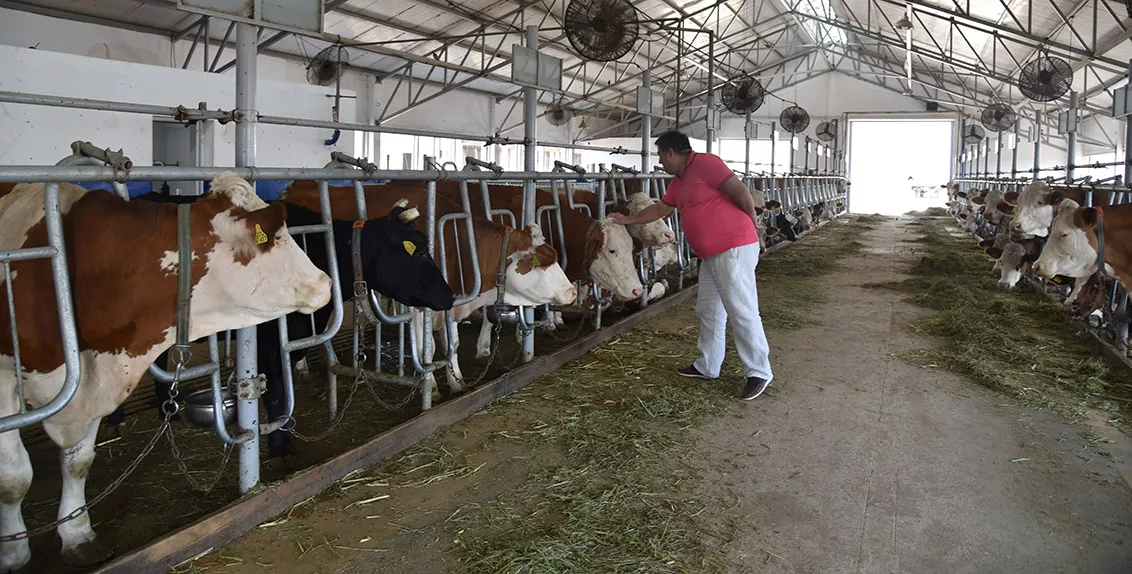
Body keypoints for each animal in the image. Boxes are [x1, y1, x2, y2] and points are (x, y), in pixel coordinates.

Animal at [0, 174, 332, 570]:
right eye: (279, 236)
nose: (326, 282)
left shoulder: (93, 380)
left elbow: (78, 462)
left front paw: (78, 536)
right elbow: (14, 478)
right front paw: (13, 552)